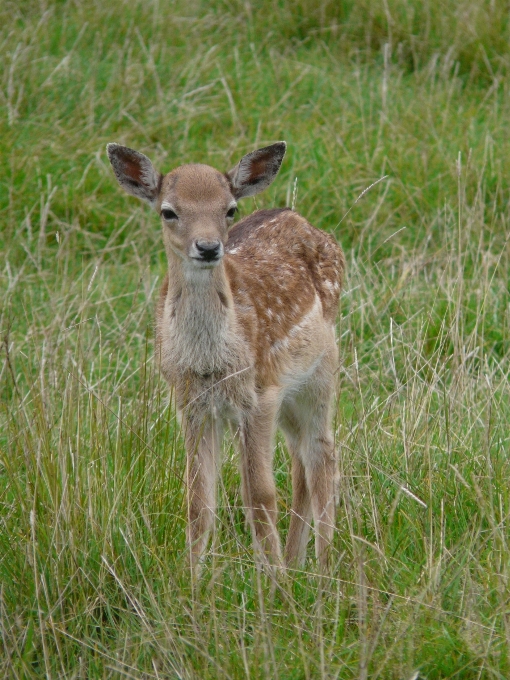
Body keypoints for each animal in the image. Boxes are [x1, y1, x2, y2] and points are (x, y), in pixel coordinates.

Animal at [107, 141, 346, 572]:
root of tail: (303, 221)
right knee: (301, 462)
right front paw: (192, 579)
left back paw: (322, 569)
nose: (208, 247)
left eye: (229, 209)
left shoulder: (259, 395)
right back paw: (297, 560)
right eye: (169, 211)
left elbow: (261, 497)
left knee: (322, 457)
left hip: (320, 371)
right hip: (286, 394)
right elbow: (198, 502)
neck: (209, 361)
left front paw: (274, 581)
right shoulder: (191, 402)